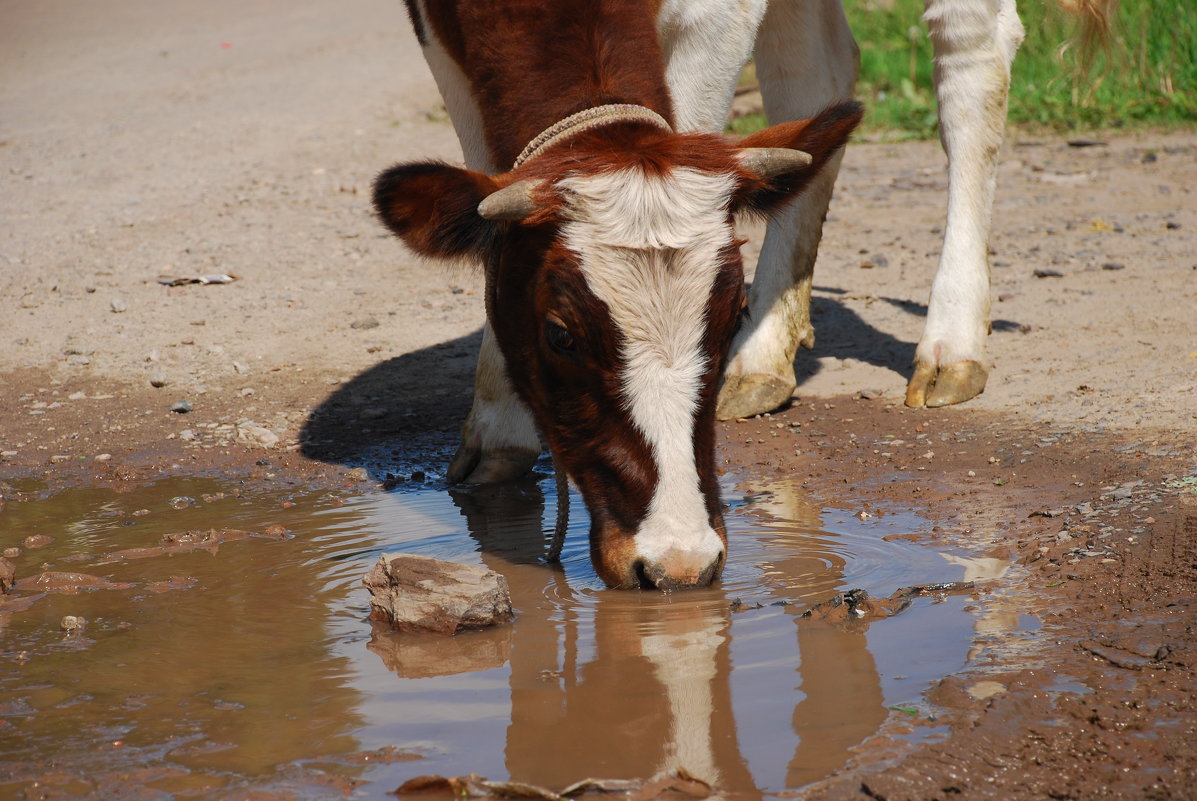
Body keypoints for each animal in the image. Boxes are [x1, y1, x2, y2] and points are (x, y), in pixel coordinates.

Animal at [373, 0, 861, 586]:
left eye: (733, 316)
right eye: (560, 336)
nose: (680, 564)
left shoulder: (718, 21)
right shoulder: (435, 30)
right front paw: (499, 428)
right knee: (820, 72)